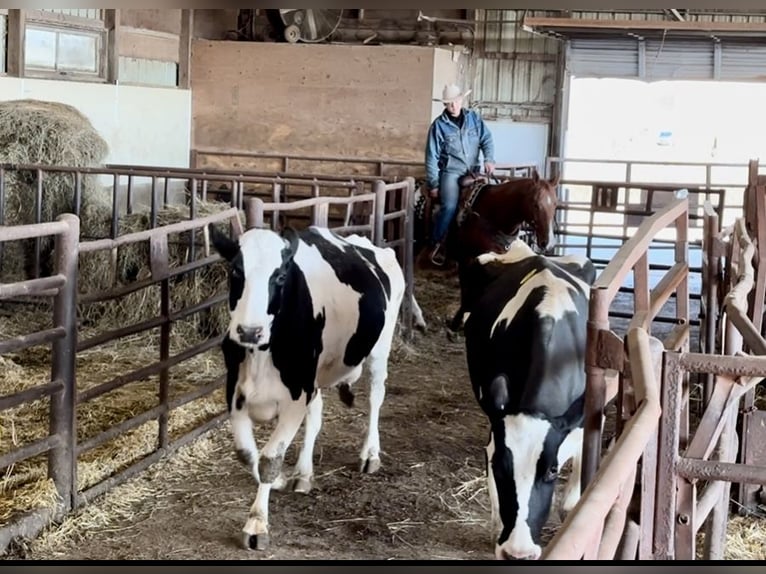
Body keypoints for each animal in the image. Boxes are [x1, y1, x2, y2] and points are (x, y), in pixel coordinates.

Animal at [210, 223, 412, 552]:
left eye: (280, 276)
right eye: (236, 270)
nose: (250, 331)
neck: (262, 353)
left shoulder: (295, 396)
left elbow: (270, 459)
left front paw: (257, 524)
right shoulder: (235, 393)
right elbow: (247, 454)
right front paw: (279, 481)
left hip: (380, 347)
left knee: (375, 397)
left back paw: (370, 453)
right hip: (314, 379)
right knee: (316, 417)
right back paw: (303, 473)